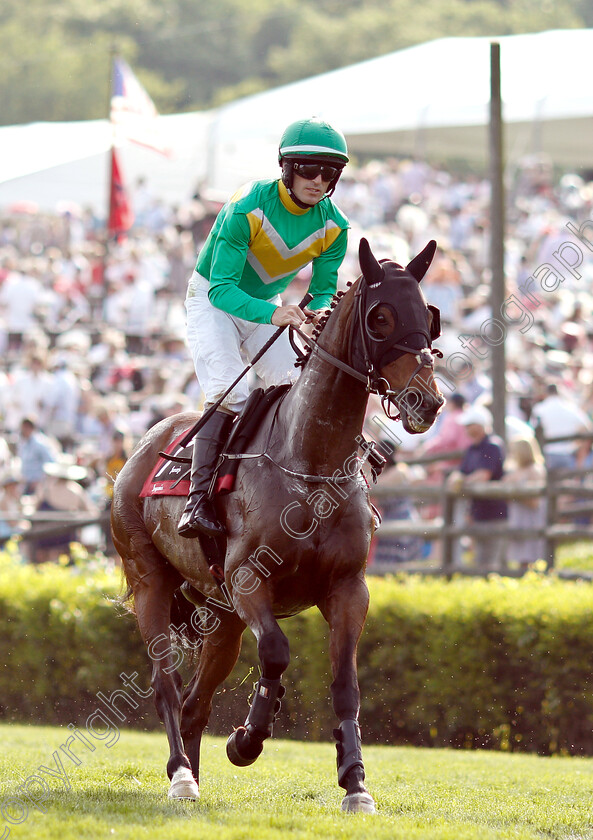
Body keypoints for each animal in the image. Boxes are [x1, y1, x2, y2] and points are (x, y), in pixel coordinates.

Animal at [112, 236, 444, 812]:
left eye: (428, 315)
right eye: (380, 318)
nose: (427, 399)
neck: (309, 463)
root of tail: (142, 448)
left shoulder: (348, 588)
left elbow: (346, 683)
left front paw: (355, 782)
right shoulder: (250, 580)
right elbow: (276, 652)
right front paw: (247, 739)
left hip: (220, 617)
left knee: (197, 702)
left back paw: (193, 774)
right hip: (151, 581)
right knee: (167, 684)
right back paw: (181, 775)